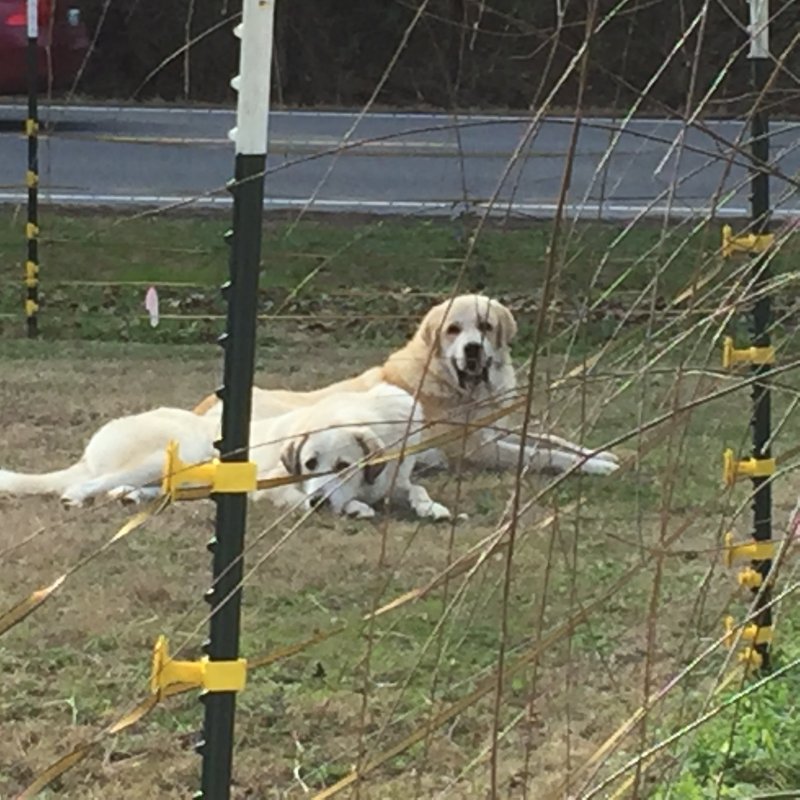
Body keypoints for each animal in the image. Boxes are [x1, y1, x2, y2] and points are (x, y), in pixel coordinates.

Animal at [0, 384, 450, 520]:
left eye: (344, 465)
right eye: (309, 464)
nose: (320, 503)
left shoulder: (397, 475)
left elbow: (415, 489)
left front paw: (432, 508)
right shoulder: (271, 482)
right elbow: (294, 495)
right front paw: (354, 507)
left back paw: (131, 497)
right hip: (172, 451)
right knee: (87, 484)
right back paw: (77, 498)